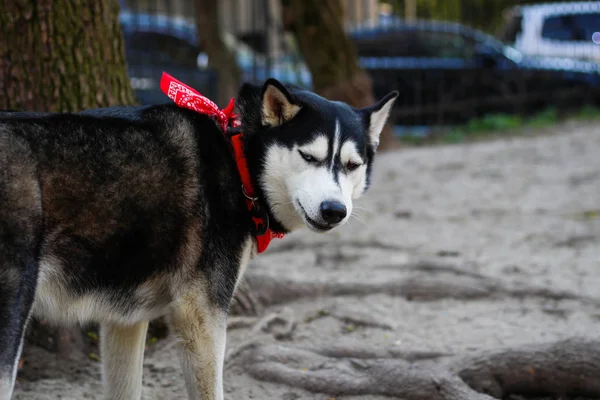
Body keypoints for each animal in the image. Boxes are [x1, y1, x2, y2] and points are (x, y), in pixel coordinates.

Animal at [0, 79, 396, 400]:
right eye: (308, 156)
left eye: (352, 165)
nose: (334, 210)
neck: (237, 162)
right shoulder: (200, 314)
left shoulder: (124, 319)